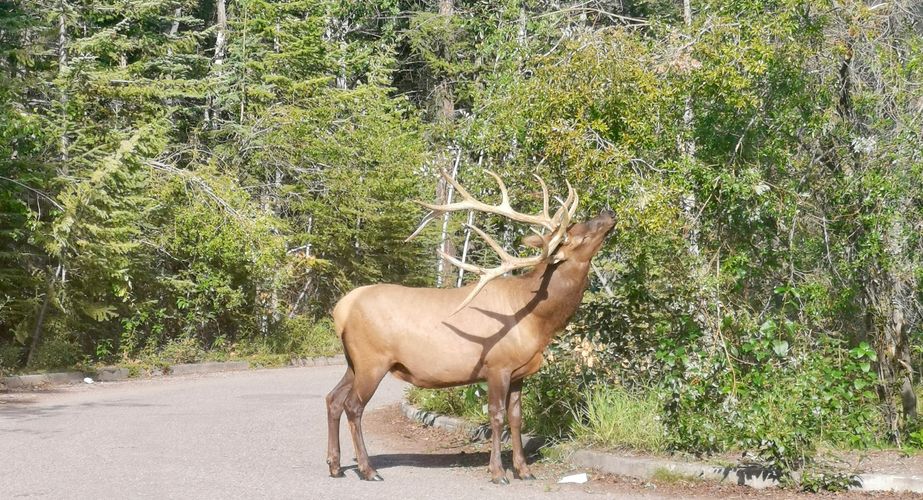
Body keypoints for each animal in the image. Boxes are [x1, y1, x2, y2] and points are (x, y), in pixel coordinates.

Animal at [325, 169, 615, 484]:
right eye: (577, 236)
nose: (609, 212)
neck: (538, 321)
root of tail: (341, 309)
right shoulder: (497, 365)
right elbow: (496, 416)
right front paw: (498, 472)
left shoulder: (519, 372)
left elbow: (517, 418)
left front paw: (524, 470)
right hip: (372, 360)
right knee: (353, 406)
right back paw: (368, 469)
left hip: (353, 362)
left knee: (333, 399)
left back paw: (335, 465)